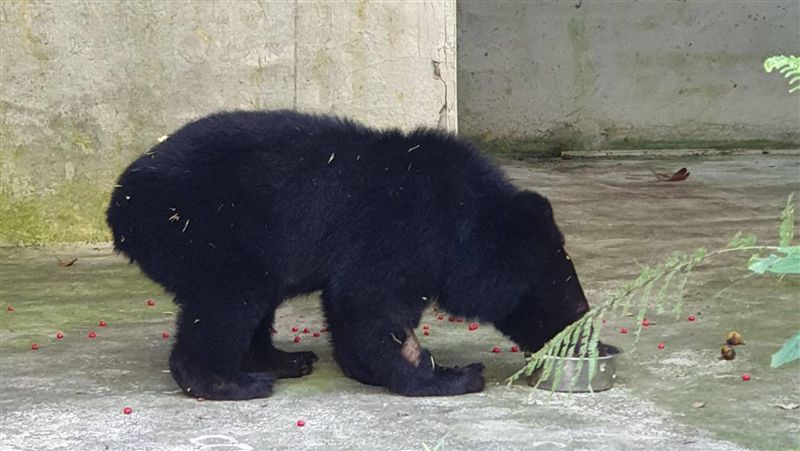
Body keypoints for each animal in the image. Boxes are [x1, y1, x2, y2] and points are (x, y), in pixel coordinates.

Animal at [106, 110, 590, 400]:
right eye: (566, 298)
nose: (590, 338)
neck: (467, 219)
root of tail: (120, 202)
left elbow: (346, 305)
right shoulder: (409, 225)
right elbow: (370, 299)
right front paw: (450, 375)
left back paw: (284, 360)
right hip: (202, 228)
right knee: (231, 298)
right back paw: (231, 381)